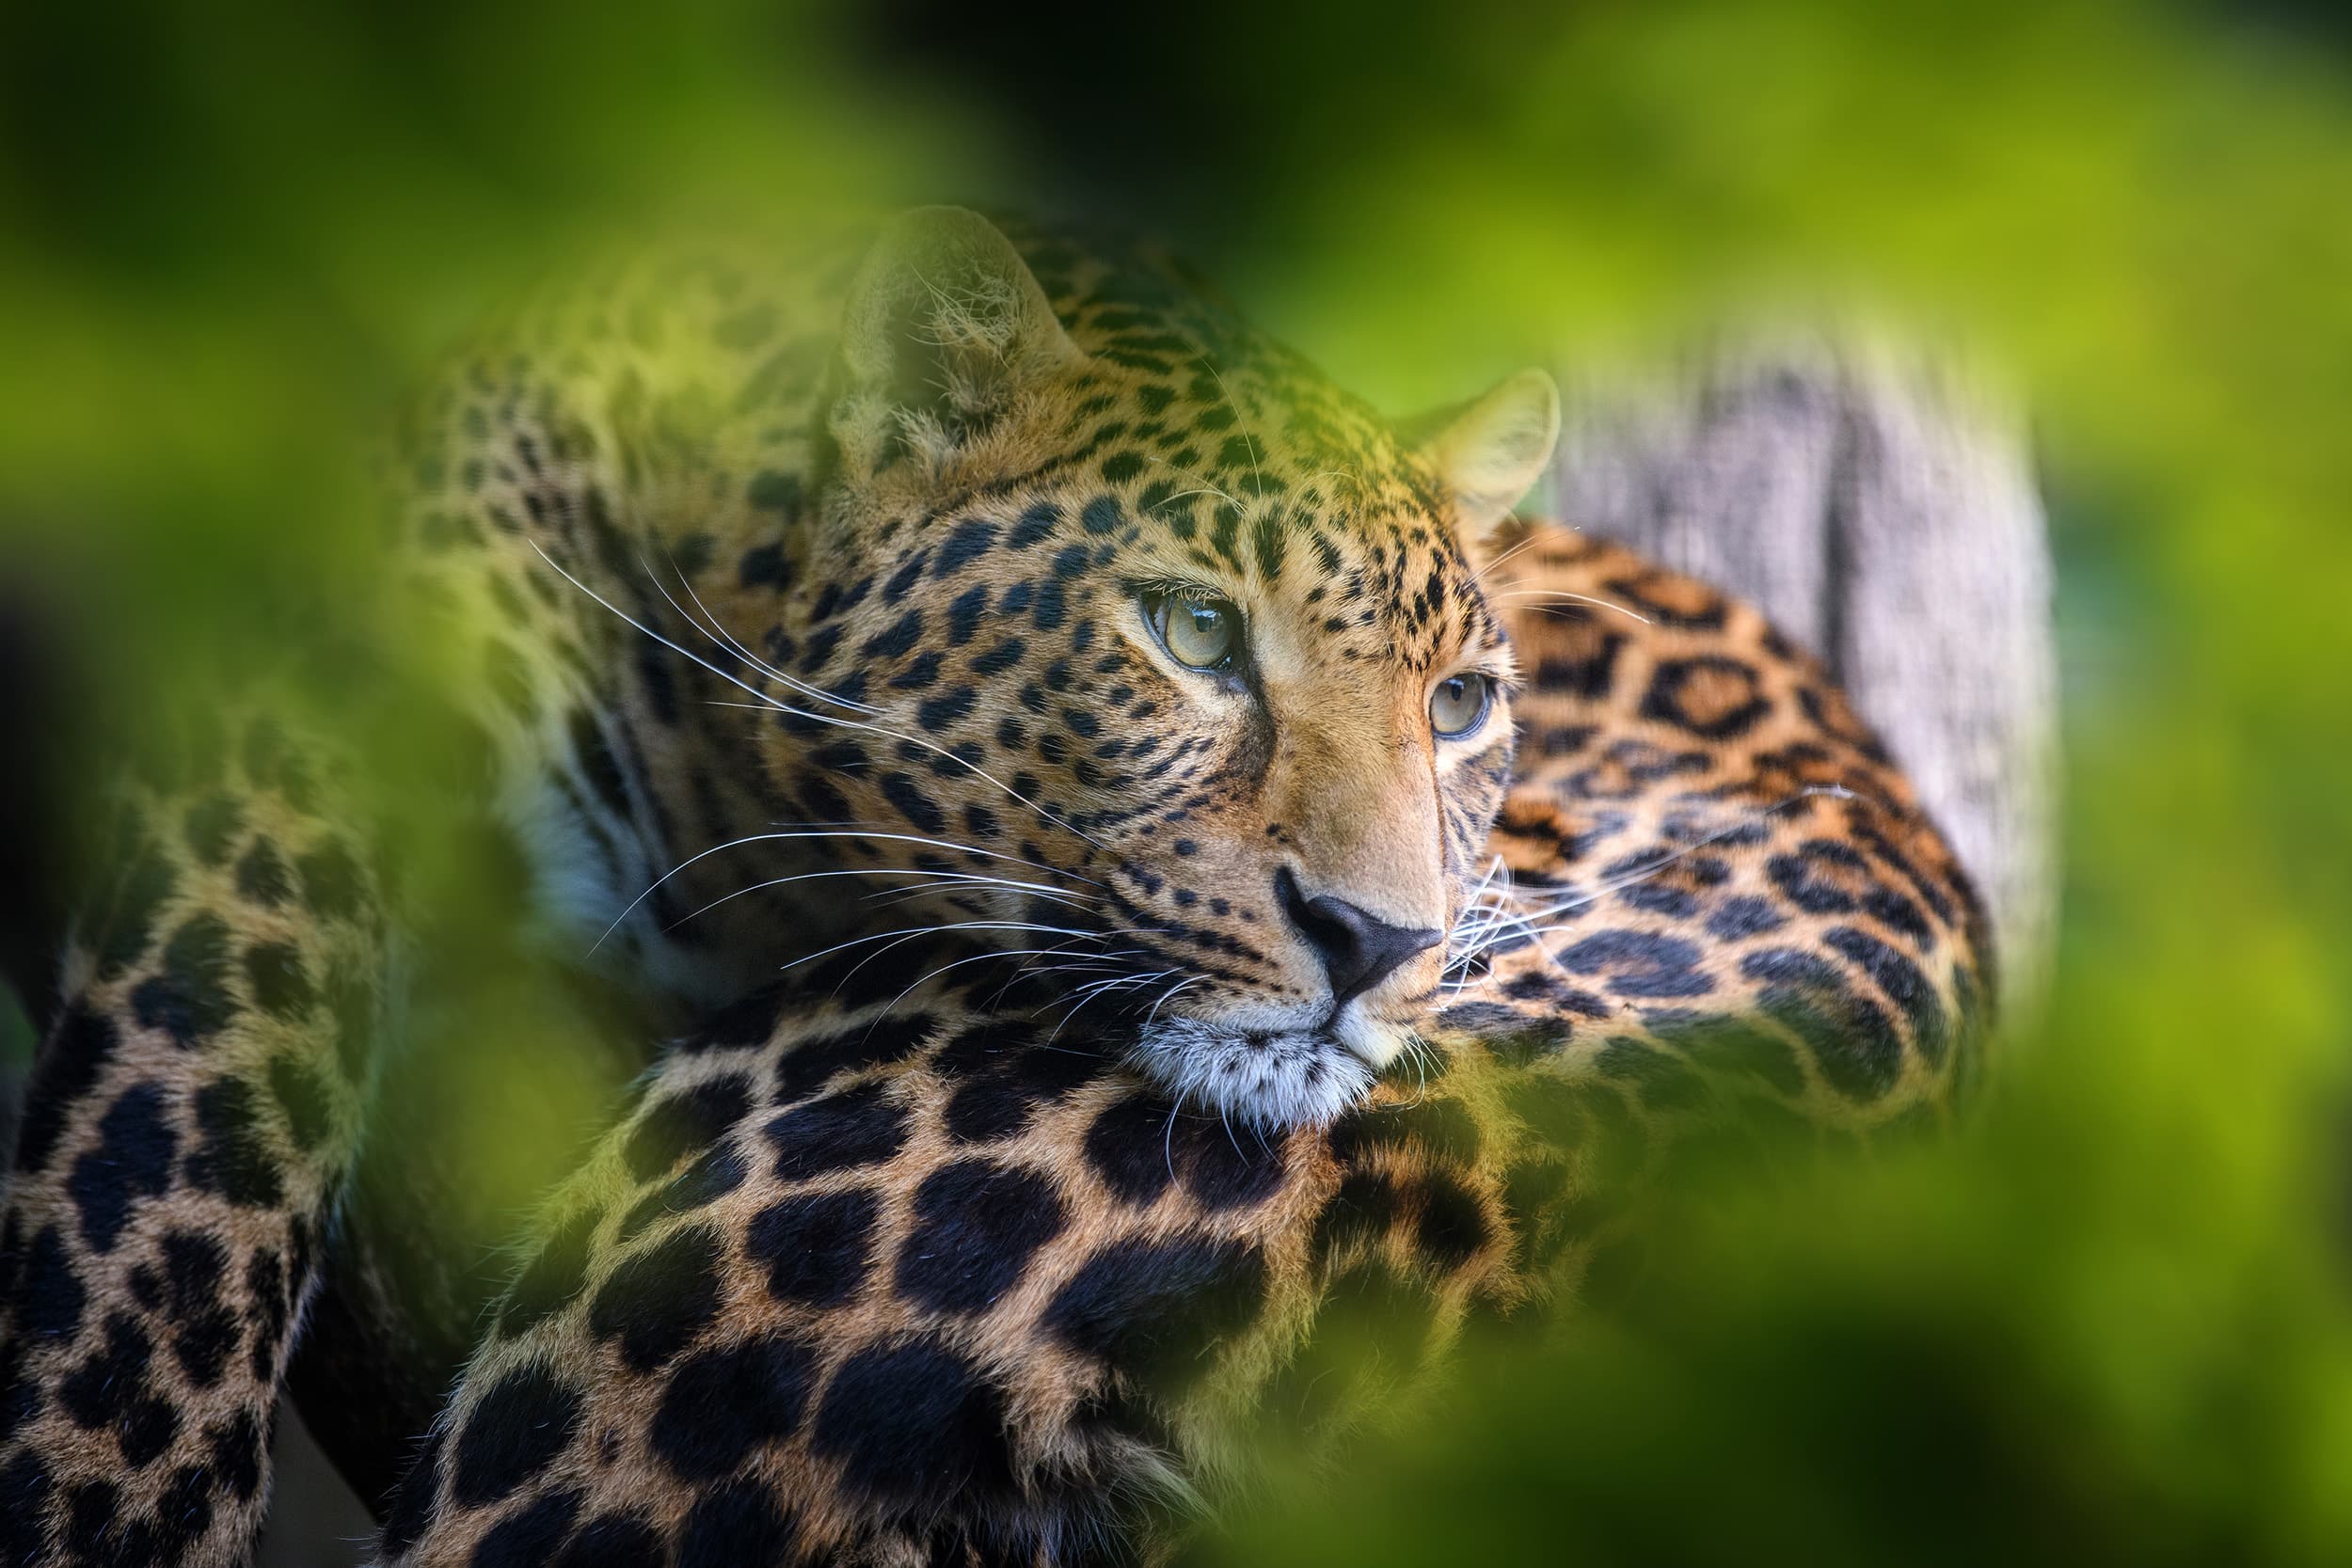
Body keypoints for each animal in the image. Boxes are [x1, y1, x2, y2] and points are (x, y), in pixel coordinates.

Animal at [0, 205, 1990, 1568]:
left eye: (1462, 704)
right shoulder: (298, 729)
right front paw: (105, 1498)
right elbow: (164, 1162)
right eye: (1193, 630)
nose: (1384, 943)